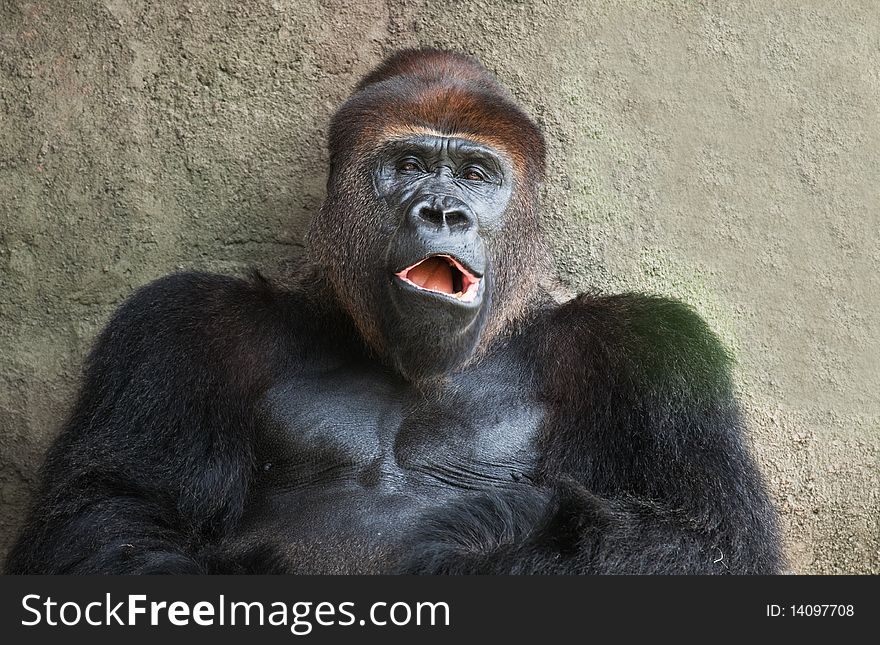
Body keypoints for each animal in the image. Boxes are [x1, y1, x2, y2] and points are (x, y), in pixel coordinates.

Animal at [3, 49, 780, 572]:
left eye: (476, 174)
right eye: (407, 166)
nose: (444, 210)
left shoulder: (652, 350)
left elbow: (699, 538)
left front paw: (481, 536)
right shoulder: (181, 327)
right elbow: (106, 521)